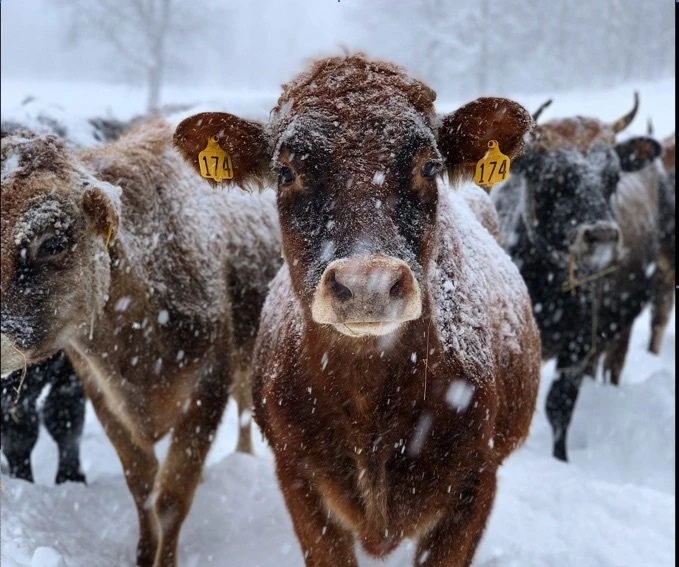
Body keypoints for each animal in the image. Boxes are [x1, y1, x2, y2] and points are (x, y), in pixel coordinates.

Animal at [0, 120, 282, 566]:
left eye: (52, 243)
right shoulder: (101, 394)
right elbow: (143, 488)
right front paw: (142, 554)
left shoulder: (208, 389)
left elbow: (172, 498)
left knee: (244, 404)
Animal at [491, 96, 663, 462]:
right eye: (554, 177)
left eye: (612, 177)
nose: (603, 235)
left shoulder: (579, 342)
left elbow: (560, 405)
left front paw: (561, 458)